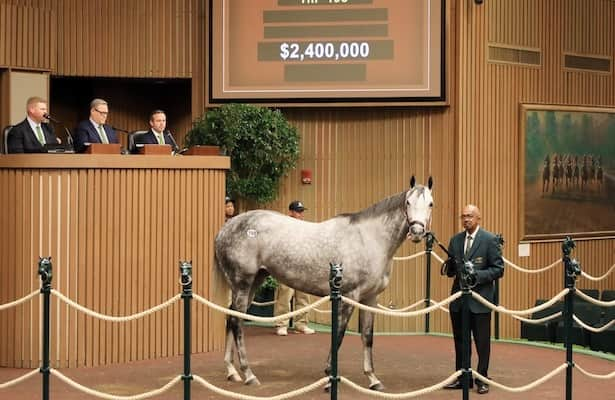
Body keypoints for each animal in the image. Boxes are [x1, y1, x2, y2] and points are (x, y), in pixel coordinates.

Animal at [215, 177, 434, 390]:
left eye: (431, 204)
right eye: (408, 202)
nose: (416, 231)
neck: (369, 239)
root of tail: (226, 228)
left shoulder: (370, 299)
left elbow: (367, 336)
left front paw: (373, 379)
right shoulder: (349, 296)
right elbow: (339, 335)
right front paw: (330, 376)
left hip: (254, 281)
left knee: (231, 316)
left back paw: (232, 371)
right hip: (243, 283)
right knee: (237, 322)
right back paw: (248, 374)